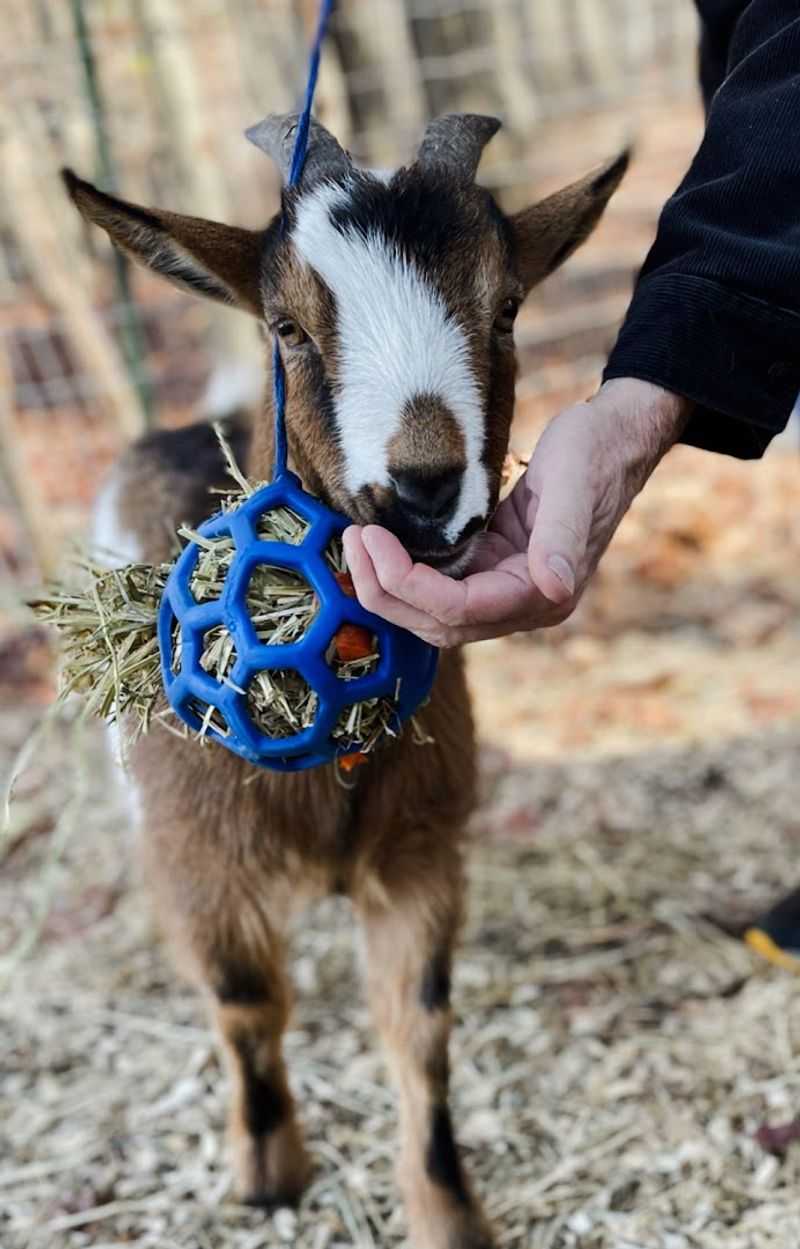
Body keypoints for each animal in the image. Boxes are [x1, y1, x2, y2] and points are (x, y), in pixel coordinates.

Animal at [64, 113, 626, 1249]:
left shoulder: (419, 853)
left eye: (507, 306)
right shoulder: (197, 861)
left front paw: (446, 1210)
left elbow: (420, 1024)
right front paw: (268, 1171)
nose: (423, 486)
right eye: (287, 325)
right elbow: (244, 1001)